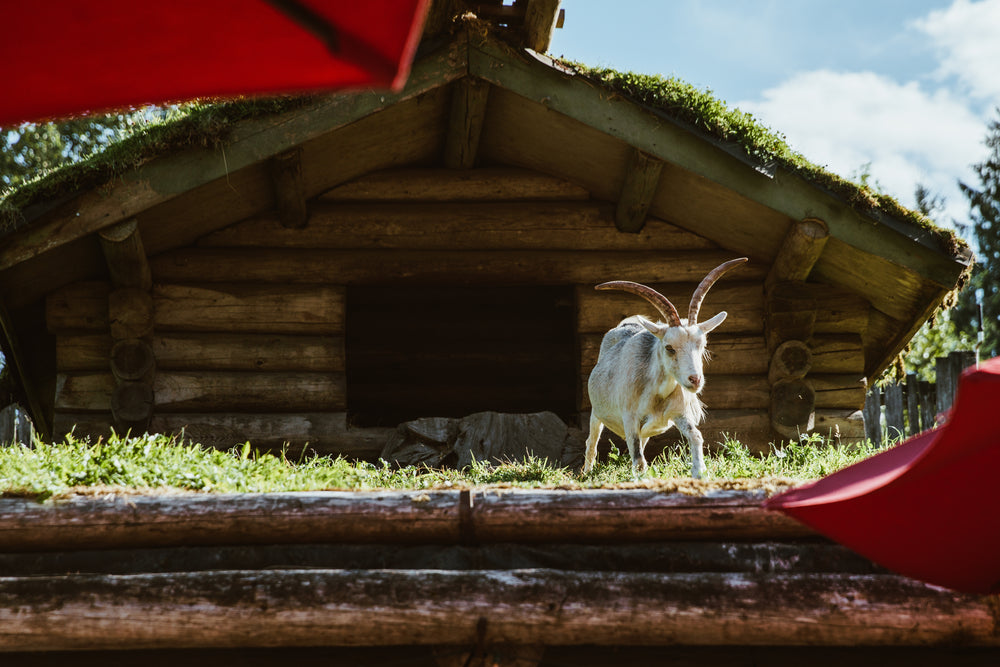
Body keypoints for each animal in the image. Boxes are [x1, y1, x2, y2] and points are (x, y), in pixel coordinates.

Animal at [584, 258, 748, 480]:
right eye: (669, 347)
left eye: (702, 345)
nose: (695, 380)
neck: (656, 394)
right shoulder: (630, 418)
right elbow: (638, 459)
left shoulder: (679, 413)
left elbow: (695, 436)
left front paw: (699, 473)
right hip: (597, 412)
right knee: (592, 441)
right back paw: (586, 474)